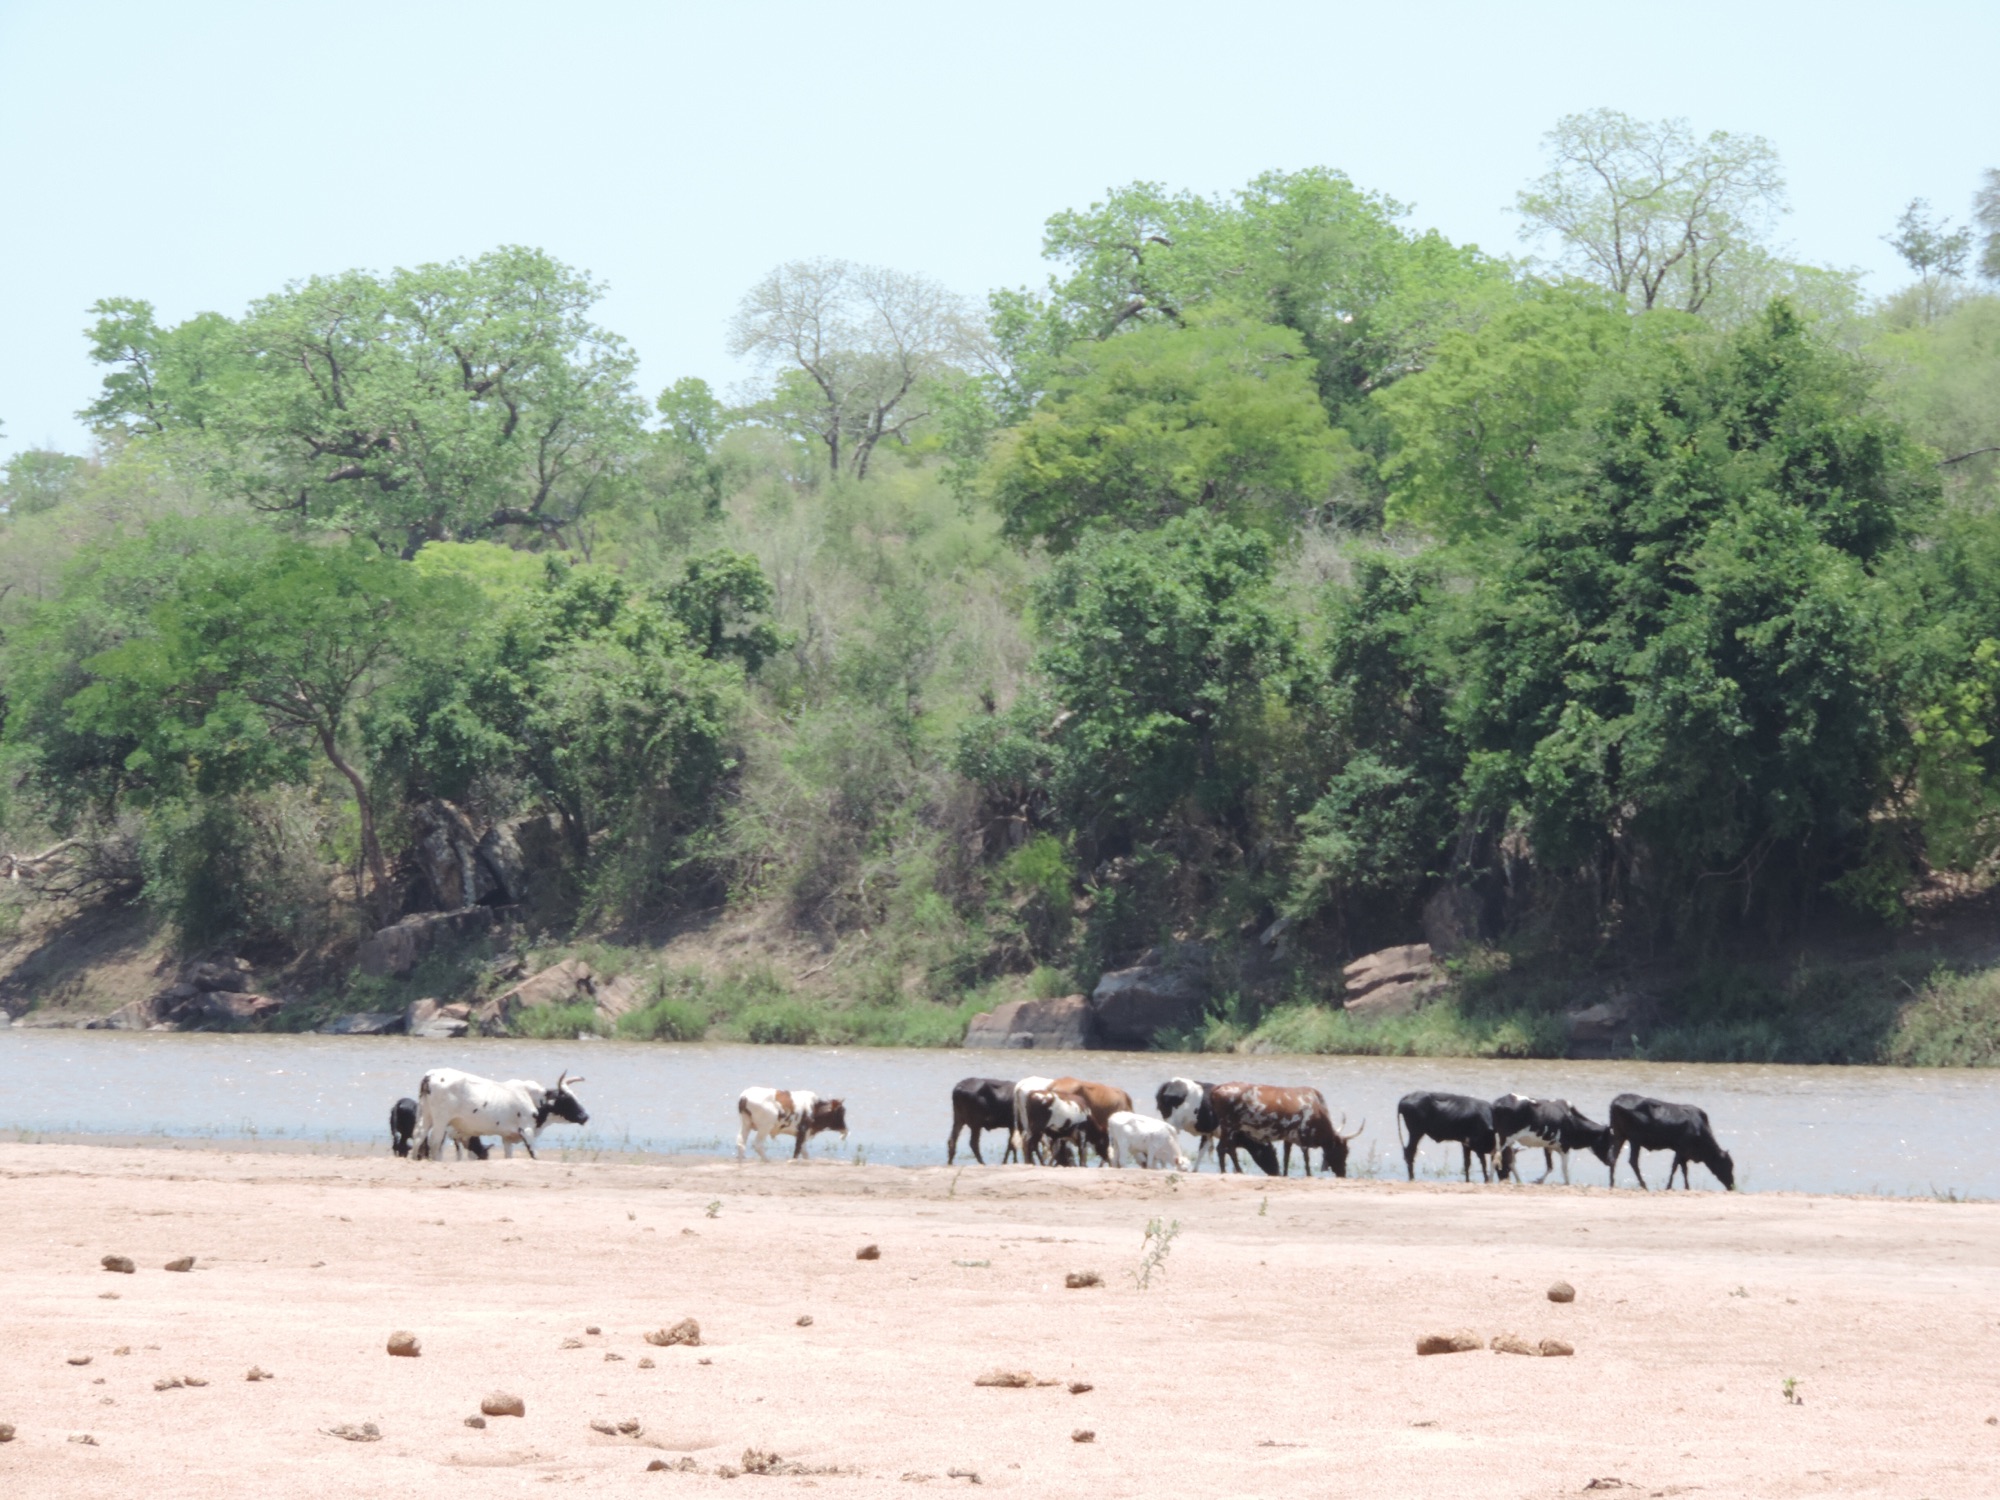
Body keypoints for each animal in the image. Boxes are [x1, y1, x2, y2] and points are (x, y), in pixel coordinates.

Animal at [413, 1069, 588, 1161]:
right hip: (440, 1120)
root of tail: (431, 1075)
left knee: (418, 1137)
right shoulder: (527, 1131)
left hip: (425, 1115)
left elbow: (508, 1156)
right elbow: (535, 1155)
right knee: (434, 1142)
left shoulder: (507, 1138)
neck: (532, 1098)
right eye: (566, 1099)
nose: (585, 1116)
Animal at [1210, 1083, 1358, 1178]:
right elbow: (1306, 1160)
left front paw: (1285, 1174)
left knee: (1226, 1149)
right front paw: (1309, 1175)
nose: (1343, 1173)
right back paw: (1233, 1171)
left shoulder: (1289, 1138)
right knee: (1224, 1149)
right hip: (1228, 1127)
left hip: (1229, 1130)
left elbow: (1286, 1158)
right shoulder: (1303, 1138)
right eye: (1343, 1151)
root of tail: (1218, 1088)